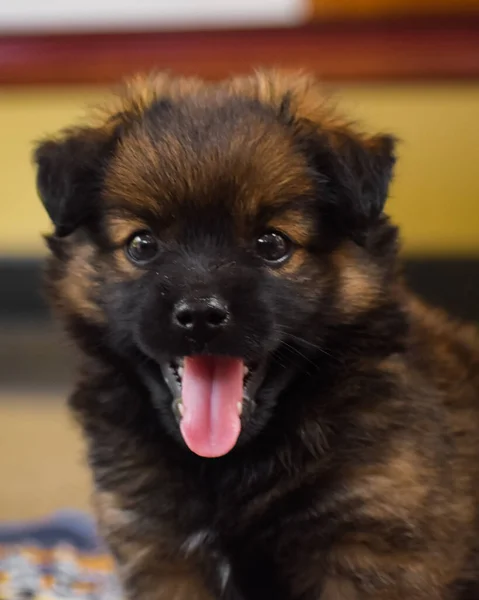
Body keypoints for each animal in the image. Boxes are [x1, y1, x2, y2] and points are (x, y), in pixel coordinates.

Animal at [32, 71, 479, 600]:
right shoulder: (165, 552)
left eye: (272, 243)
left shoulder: (371, 546)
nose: (200, 315)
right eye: (142, 244)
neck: (228, 469)